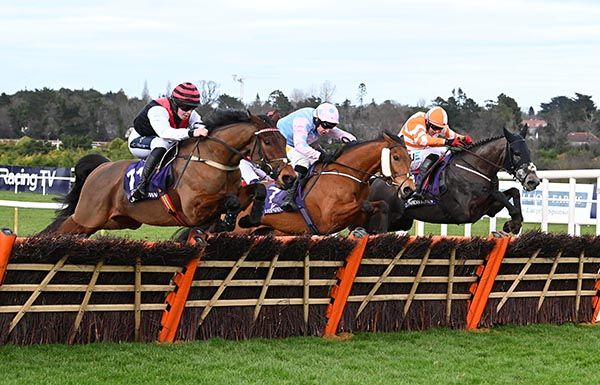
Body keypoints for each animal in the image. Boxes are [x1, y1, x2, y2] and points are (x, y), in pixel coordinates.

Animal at [41, 109, 296, 236]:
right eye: (267, 141)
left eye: (284, 141)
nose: (289, 177)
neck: (216, 159)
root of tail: (101, 168)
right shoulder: (193, 208)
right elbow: (230, 200)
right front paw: (227, 221)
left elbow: (258, 189)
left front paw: (248, 219)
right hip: (88, 217)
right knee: (59, 229)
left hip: (114, 221)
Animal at [232, 131, 414, 234]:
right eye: (396, 157)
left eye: (410, 158)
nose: (408, 189)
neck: (347, 175)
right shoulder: (329, 218)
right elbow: (365, 204)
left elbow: (381, 205)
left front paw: (379, 230)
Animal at [368, 126, 540, 234]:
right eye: (516, 153)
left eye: (528, 151)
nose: (533, 181)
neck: (474, 168)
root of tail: (374, 182)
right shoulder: (466, 211)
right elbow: (498, 194)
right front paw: (514, 222)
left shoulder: (489, 209)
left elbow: (513, 191)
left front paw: (514, 223)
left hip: (400, 222)